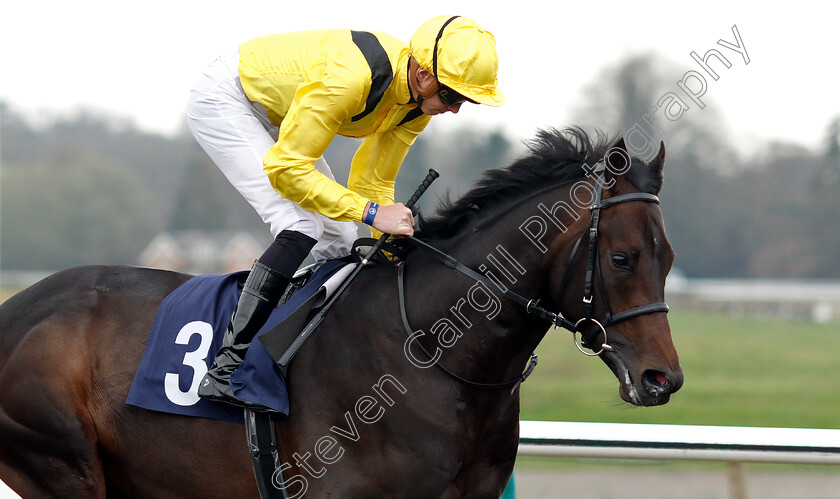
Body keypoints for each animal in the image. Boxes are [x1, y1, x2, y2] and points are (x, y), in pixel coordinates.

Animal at [0, 130, 684, 499]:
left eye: (669, 257)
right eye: (622, 257)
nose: (663, 379)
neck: (427, 351)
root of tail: (17, 310)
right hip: (60, 462)